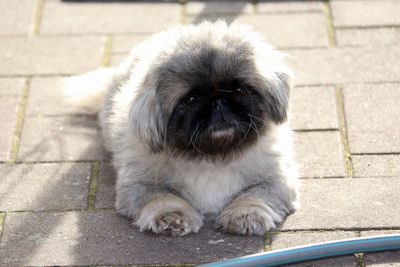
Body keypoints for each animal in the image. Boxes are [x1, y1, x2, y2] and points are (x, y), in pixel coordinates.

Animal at [65, 21, 298, 237]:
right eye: (190, 99)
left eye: (240, 89)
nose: (218, 102)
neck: (212, 158)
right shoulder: (138, 184)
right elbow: (162, 197)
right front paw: (171, 216)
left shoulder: (277, 179)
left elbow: (255, 195)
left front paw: (246, 214)